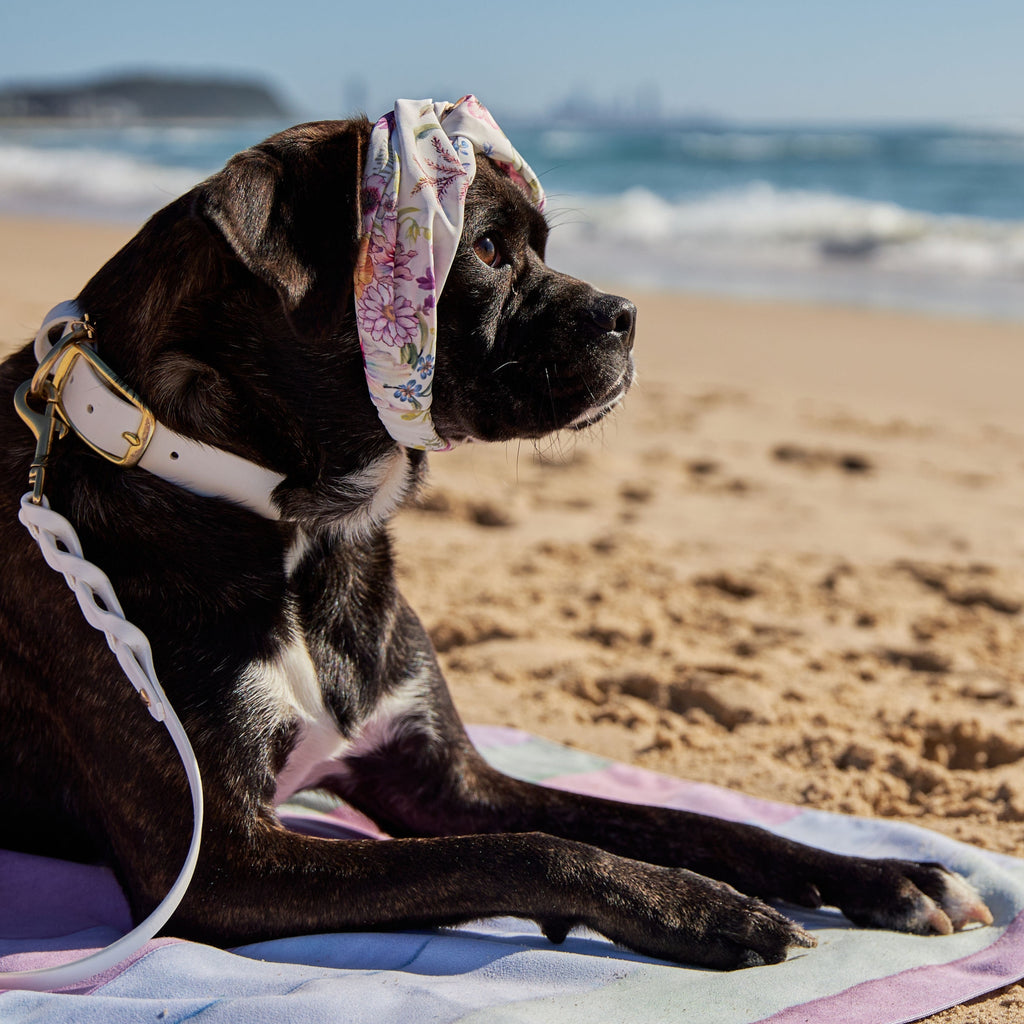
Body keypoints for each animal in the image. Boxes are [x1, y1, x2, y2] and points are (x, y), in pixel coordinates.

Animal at [0, 112, 991, 966]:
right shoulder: (220, 864)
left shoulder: (444, 780)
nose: (628, 315)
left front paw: (886, 877)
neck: (303, 527)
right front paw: (698, 906)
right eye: (482, 250)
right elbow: (527, 849)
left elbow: (686, 823)